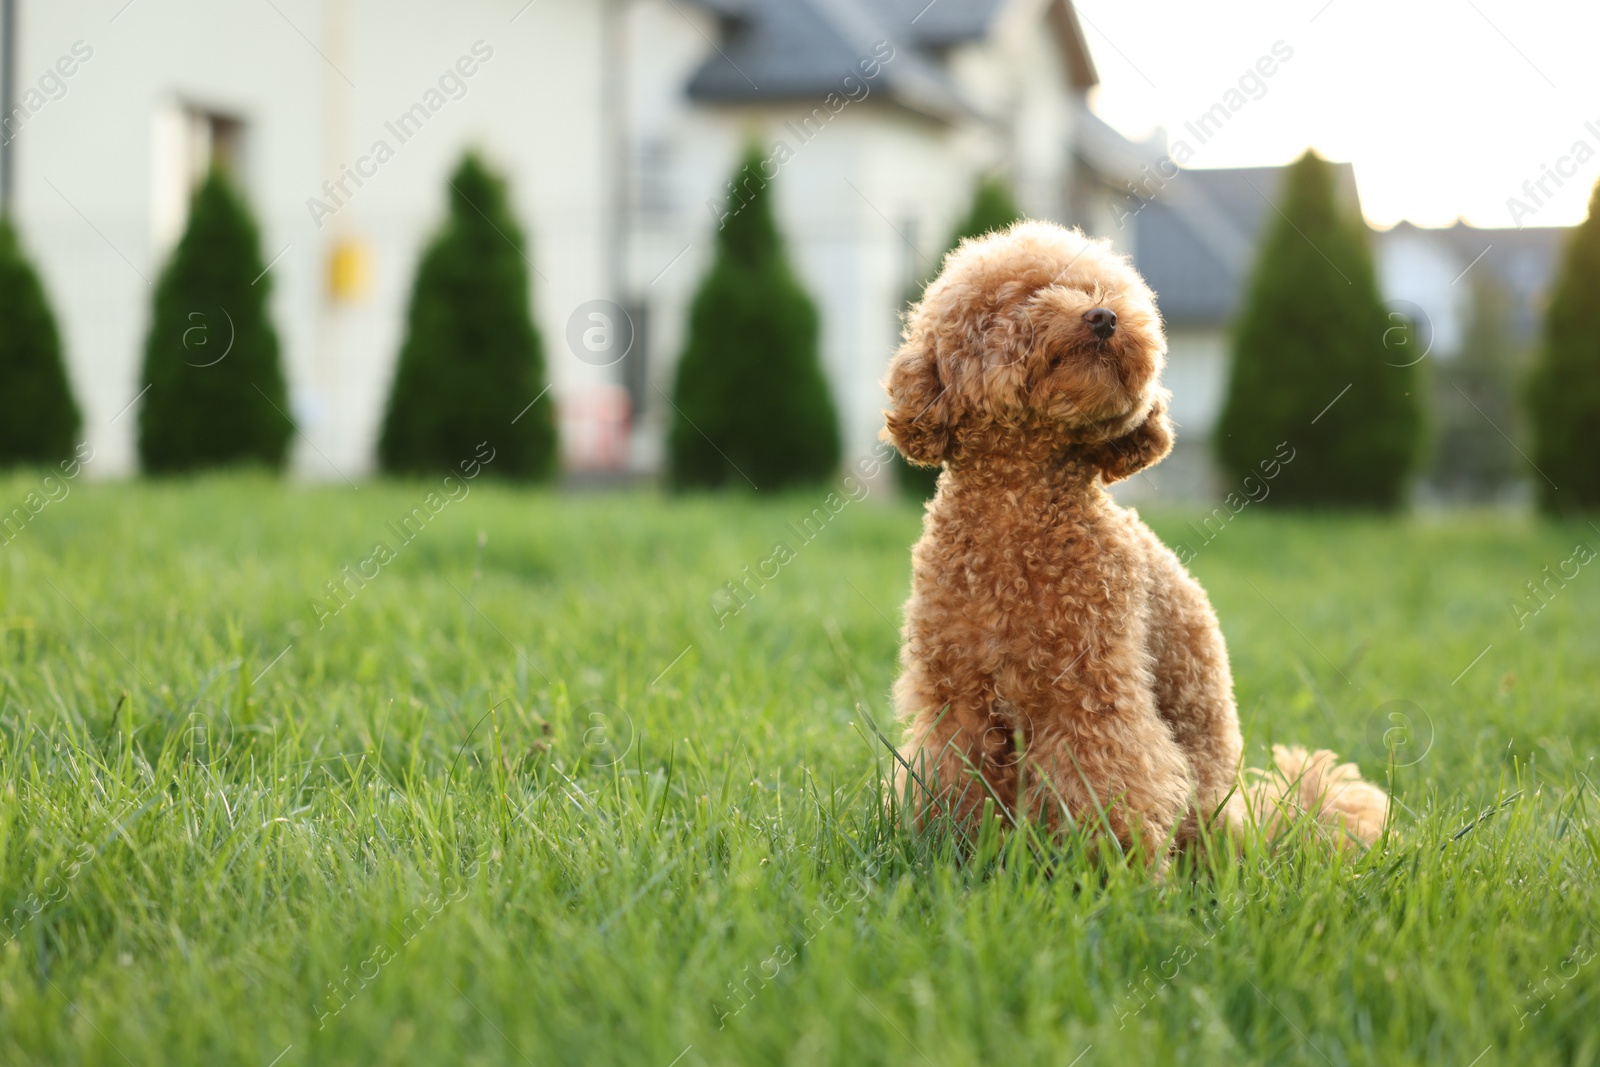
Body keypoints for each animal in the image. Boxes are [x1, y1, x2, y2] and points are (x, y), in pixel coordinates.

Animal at [889, 220, 1388, 857]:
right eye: (1028, 295)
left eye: (1101, 289)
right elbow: (957, 779)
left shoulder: (1092, 691)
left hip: (1207, 803)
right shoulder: (960, 698)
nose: (1104, 317)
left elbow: (1107, 780)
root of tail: (1255, 828)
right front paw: (955, 850)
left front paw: (1106, 865)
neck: (1018, 510)